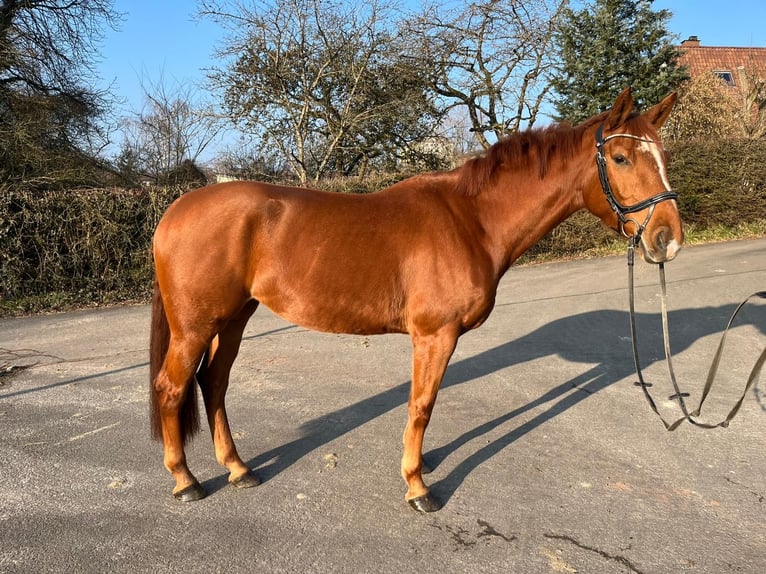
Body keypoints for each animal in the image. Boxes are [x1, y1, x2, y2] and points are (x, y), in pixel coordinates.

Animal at [148, 86, 684, 512]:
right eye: (621, 158)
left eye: (663, 155)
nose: (668, 238)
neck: (471, 219)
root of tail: (174, 211)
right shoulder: (434, 335)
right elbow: (422, 405)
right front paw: (418, 485)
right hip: (195, 326)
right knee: (172, 388)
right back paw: (185, 481)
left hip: (234, 318)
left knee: (214, 384)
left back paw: (239, 469)